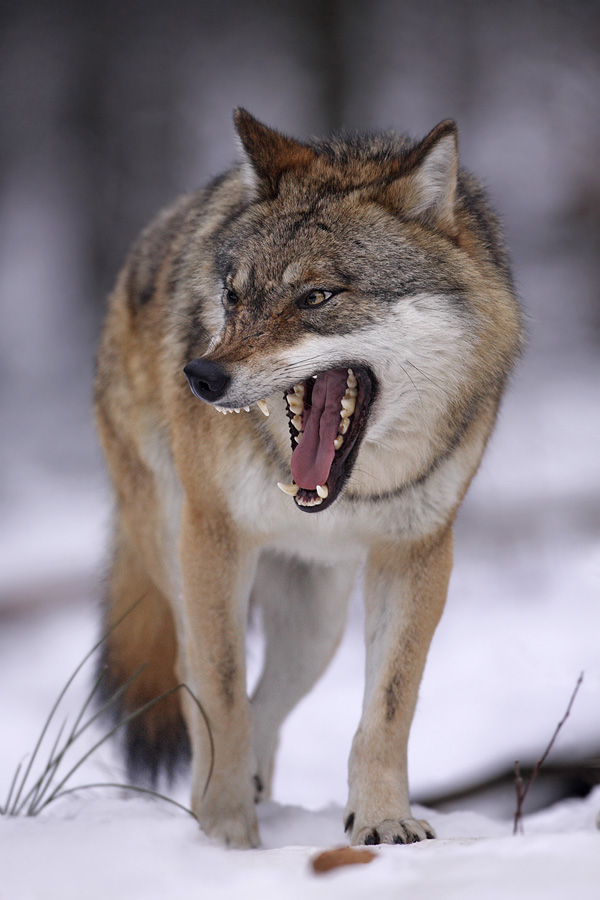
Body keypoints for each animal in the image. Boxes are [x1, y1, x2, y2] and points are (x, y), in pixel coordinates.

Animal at [94, 109, 520, 848]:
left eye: (316, 296)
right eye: (233, 295)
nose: (200, 377)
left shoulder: (418, 552)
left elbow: (388, 707)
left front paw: (382, 822)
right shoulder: (215, 538)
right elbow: (221, 693)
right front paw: (225, 837)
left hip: (317, 628)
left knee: (269, 697)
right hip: (181, 555)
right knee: (193, 674)